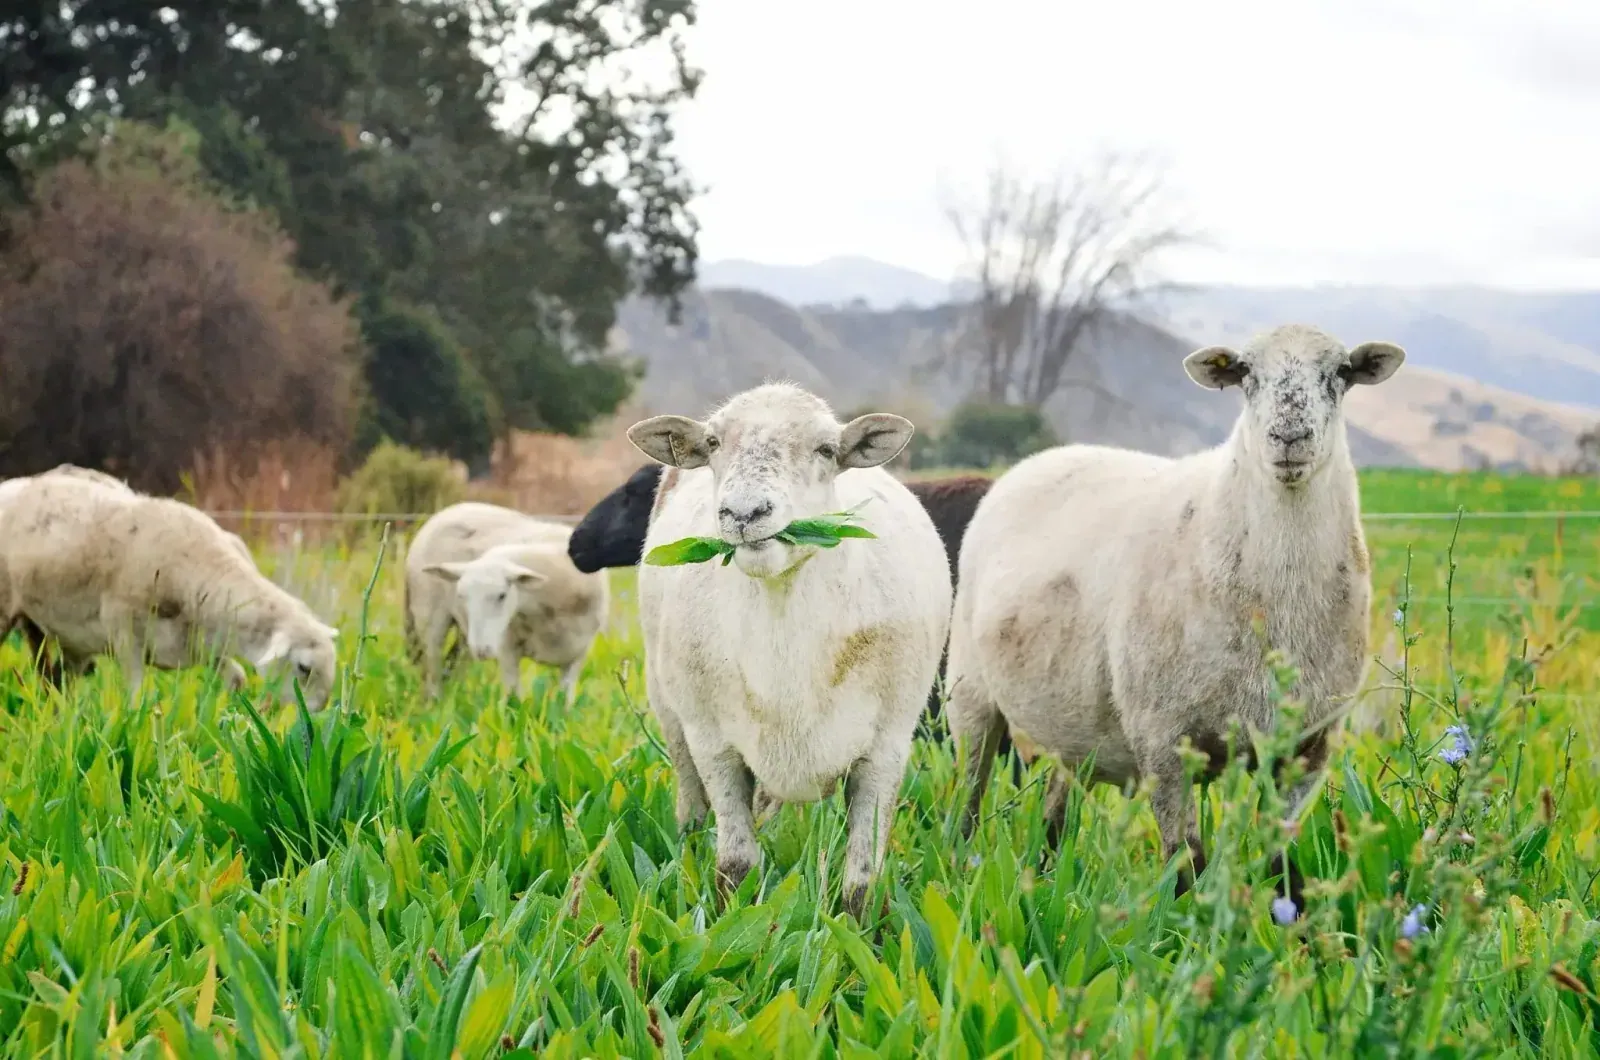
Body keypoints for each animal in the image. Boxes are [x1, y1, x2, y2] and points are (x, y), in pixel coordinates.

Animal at [0, 474, 339, 707]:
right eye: (304, 667)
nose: (319, 710)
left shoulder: (202, 645)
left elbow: (236, 679)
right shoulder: (126, 634)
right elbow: (137, 697)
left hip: (55, 633)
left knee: (53, 680)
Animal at [404, 502, 608, 702]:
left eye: (502, 595)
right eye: (461, 596)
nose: (483, 650)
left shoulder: (577, 656)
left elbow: (565, 703)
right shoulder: (507, 650)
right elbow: (513, 700)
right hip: (431, 618)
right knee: (432, 668)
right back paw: (434, 703)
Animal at [631, 382, 952, 918]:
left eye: (826, 449)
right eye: (713, 444)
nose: (743, 514)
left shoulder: (886, 746)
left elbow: (862, 882)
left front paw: (855, 934)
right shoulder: (714, 742)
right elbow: (736, 866)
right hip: (671, 710)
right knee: (693, 803)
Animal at [946, 324, 1404, 909]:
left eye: (1342, 373)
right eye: (1245, 374)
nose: (1289, 437)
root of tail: (1040, 459)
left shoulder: (1308, 745)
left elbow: (1280, 862)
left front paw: (1291, 922)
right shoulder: (1163, 737)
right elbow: (1186, 864)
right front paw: (1182, 929)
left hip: (1075, 722)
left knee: (1057, 802)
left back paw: (1046, 874)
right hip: (970, 693)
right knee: (968, 796)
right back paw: (960, 866)